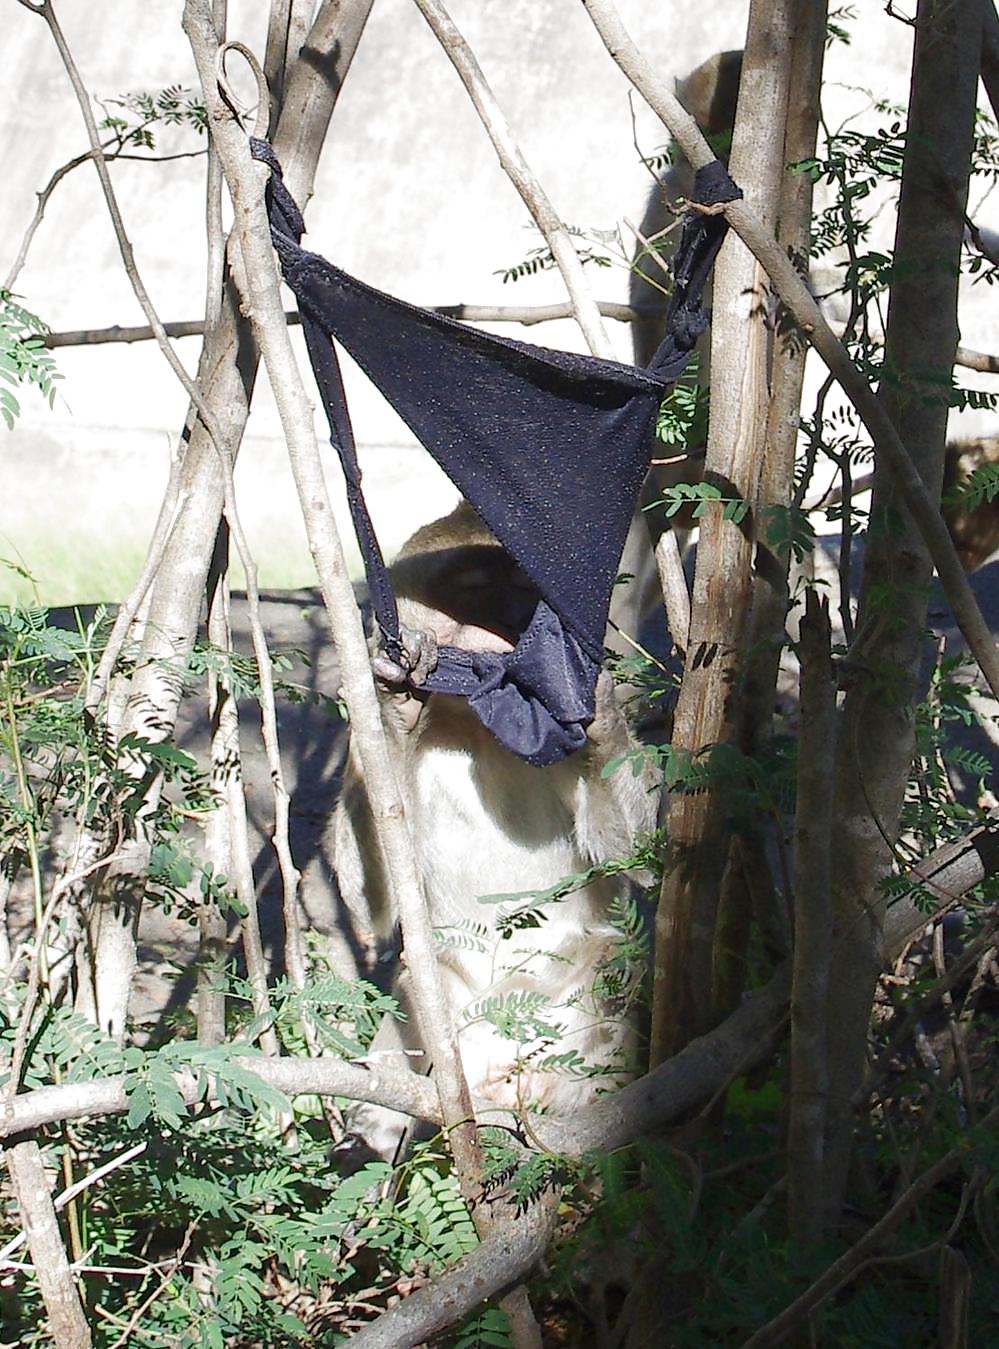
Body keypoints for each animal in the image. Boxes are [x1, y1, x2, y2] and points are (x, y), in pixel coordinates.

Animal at [331, 501, 660, 1140]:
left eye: (529, 594)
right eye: (480, 591)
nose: (516, 627)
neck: (473, 726)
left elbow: (639, 859)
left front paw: (597, 705)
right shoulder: (362, 753)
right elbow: (372, 904)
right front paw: (395, 706)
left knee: (613, 962)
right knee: (417, 981)